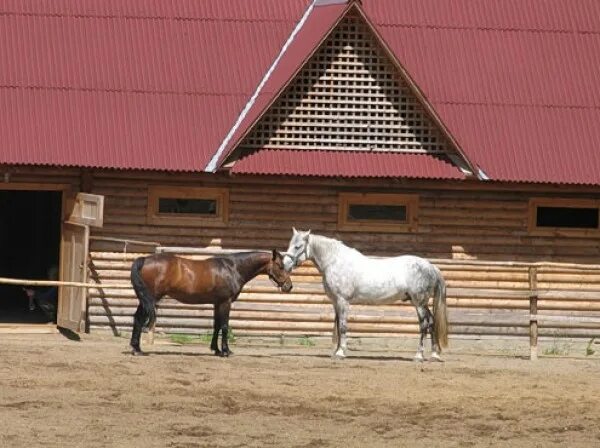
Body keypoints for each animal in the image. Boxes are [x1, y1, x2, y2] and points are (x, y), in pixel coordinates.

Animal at [129, 248, 292, 356]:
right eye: (280, 266)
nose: (289, 286)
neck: (233, 268)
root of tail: (144, 259)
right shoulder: (226, 302)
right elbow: (225, 326)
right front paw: (226, 351)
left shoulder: (217, 303)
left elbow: (216, 326)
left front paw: (216, 349)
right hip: (150, 298)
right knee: (140, 318)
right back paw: (137, 350)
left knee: (137, 318)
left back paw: (136, 348)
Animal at [284, 229, 448, 362]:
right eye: (290, 244)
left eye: (298, 246)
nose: (285, 265)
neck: (336, 262)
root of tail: (431, 266)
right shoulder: (336, 302)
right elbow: (337, 325)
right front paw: (337, 351)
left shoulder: (343, 301)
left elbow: (342, 326)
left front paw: (341, 353)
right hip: (422, 303)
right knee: (432, 322)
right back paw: (434, 355)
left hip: (419, 303)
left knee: (424, 325)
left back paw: (419, 355)